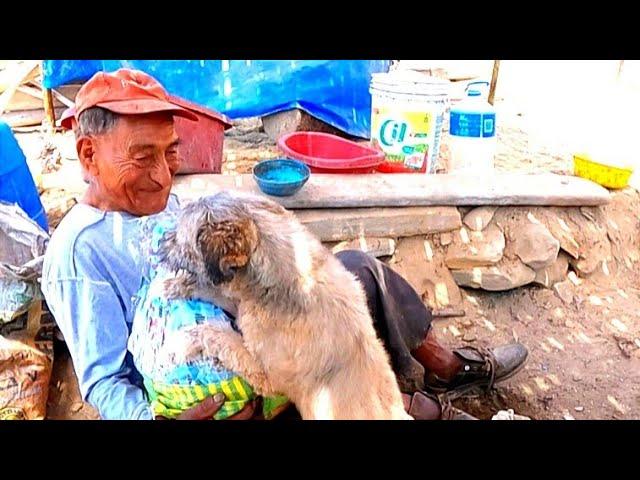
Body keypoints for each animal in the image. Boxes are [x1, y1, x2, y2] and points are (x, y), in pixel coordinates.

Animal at [158, 191, 412, 420]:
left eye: (178, 236)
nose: (160, 243)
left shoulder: (265, 376)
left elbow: (219, 336)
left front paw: (182, 341)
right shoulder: (244, 304)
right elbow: (218, 293)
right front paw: (176, 285)